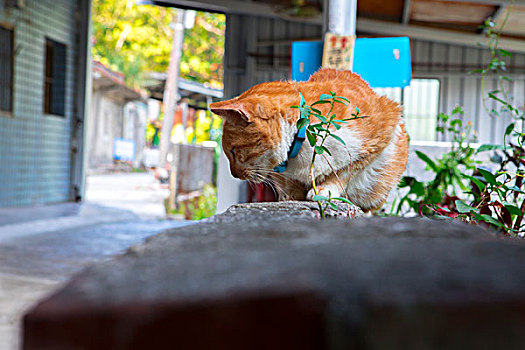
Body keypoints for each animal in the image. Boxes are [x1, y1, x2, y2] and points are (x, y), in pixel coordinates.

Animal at [210, 68, 410, 211]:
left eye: (233, 151)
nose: (234, 174)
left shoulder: (384, 130)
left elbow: (345, 171)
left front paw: (325, 189)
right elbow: (290, 184)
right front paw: (292, 195)